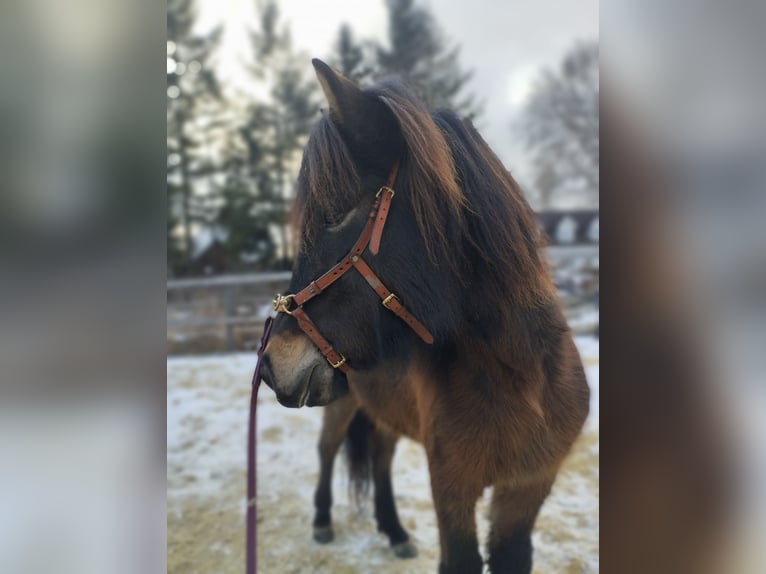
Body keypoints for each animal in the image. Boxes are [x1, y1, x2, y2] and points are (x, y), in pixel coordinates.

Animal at [260, 58, 590, 574]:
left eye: (333, 215)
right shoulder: (452, 487)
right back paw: (323, 521)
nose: (273, 364)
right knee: (329, 451)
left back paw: (394, 530)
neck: (522, 379)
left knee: (379, 457)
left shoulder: (526, 489)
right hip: (342, 407)